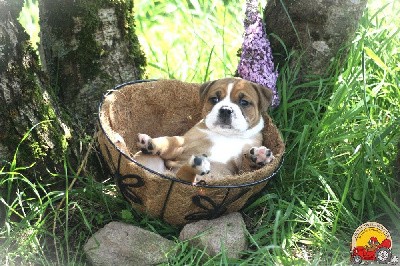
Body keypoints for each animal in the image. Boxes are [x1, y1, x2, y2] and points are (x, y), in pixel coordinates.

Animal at [133, 78, 274, 184]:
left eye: (244, 102)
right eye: (214, 99)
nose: (225, 110)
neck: (226, 135)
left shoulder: (240, 171)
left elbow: (247, 166)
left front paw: (257, 158)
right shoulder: (183, 142)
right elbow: (170, 141)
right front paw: (152, 143)